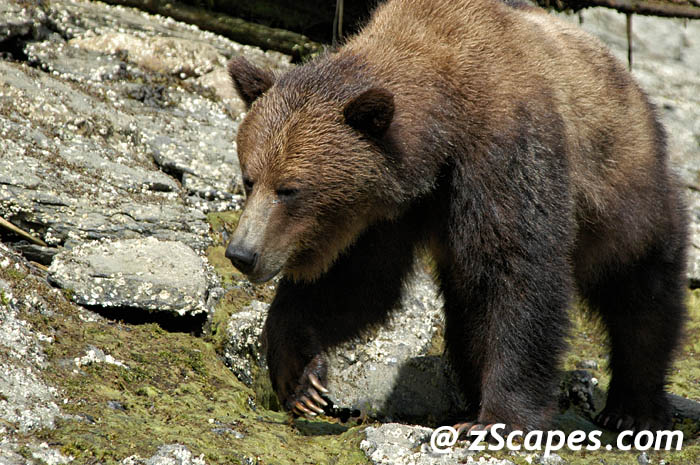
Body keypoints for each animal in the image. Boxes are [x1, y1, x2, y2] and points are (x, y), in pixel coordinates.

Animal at [224, 0, 687, 433]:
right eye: (250, 179)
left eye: (289, 189)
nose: (242, 254)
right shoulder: (391, 210)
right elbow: (360, 285)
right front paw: (302, 379)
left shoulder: (503, 156)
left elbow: (517, 272)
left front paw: (500, 417)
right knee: (465, 311)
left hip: (626, 196)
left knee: (642, 295)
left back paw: (633, 408)